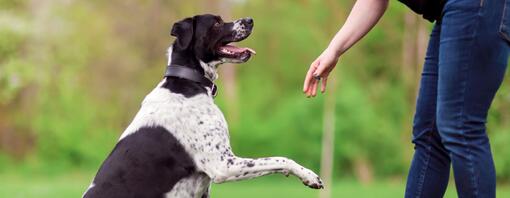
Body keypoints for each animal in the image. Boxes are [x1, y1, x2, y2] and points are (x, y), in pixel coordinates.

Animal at [83, 14, 322, 198]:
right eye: (216, 23)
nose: (250, 20)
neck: (188, 82)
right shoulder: (223, 165)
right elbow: (280, 159)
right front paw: (309, 175)